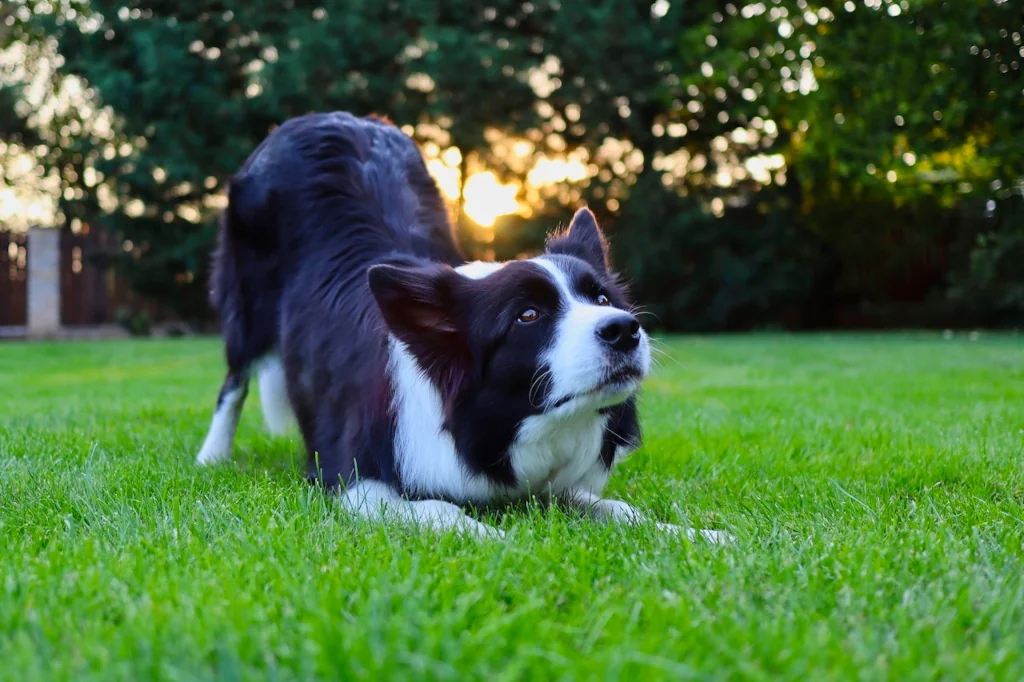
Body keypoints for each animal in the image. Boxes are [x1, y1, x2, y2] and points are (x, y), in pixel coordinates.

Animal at [195, 111, 729, 540]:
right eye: (528, 315)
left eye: (600, 299)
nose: (624, 329)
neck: (503, 427)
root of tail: (323, 117)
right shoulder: (350, 478)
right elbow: (439, 510)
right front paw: (499, 540)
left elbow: (614, 508)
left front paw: (695, 534)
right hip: (248, 304)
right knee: (233, 380)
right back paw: (212, 455)